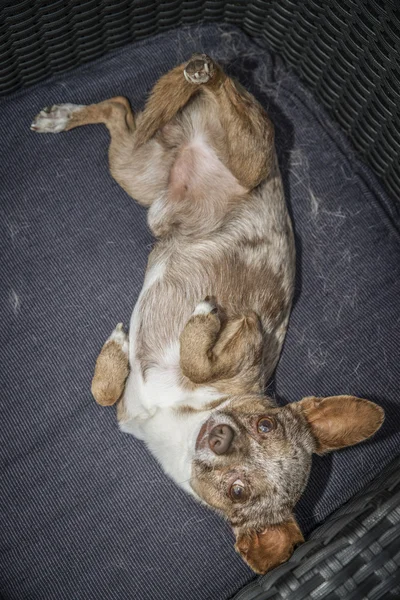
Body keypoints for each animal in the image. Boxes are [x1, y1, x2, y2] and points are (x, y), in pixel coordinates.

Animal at [32, 54, 384, 576]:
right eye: (265, 424)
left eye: (239, 489)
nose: (219, 436)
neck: (177, 417)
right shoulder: (251, 330)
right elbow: (191, 363)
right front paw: (192, 329)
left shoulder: (136, 403)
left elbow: (107, 392)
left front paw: (131, 347)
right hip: (242, 157)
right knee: (180, 88)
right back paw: (194, 73)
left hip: (137, 169)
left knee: (120, 110)